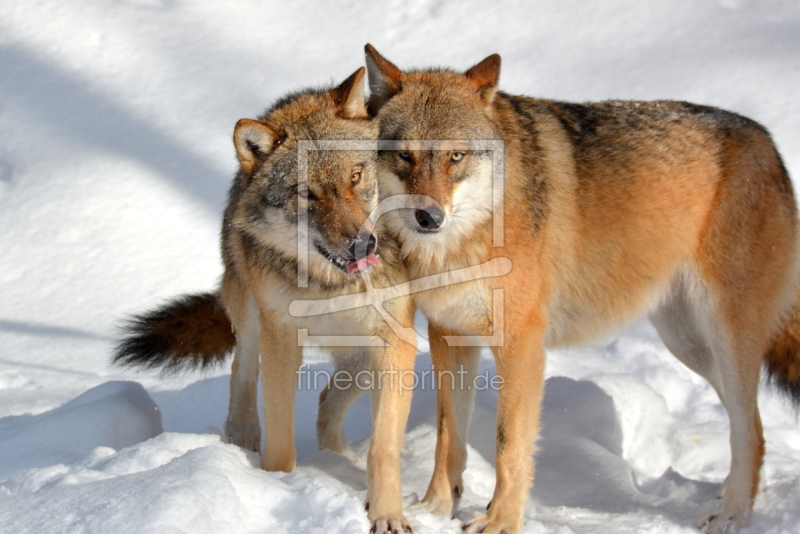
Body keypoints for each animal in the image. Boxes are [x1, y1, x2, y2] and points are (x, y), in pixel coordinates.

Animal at [117, 68, 418, 534]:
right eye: (307, 193)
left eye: (355, 176)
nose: (362, 244)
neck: (330, 283)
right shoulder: (283, 338)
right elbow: (279, 435)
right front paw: (276, 486)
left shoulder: (394, 341)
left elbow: (383, 445)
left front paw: (386, 515)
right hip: (252, 316)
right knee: (243, 369)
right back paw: (242, 437)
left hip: (359, 351)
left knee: (329, 399)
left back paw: (334, 456)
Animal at [366, 45, 800, 534]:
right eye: (404, 158)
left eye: (456, 157)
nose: (428, 218)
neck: (464, 241)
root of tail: (766, 141)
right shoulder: (449, 335)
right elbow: (447, 435)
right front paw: (435, 509)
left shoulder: (522, 346)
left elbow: (509, 445)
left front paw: (500, 522)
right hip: (691, 346)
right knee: (753, 427)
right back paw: (729, 497)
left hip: (726, 339)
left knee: (750, 429)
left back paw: (733, 514)